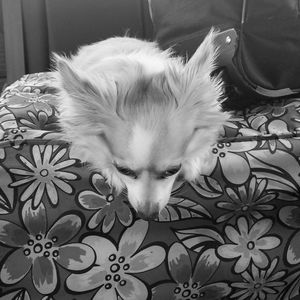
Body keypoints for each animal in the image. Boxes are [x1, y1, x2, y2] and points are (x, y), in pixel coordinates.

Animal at [54, 29, 229, 220]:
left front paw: (191, 162)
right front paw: (111, 172)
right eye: (123, 170)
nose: (147, 215)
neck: (137, 79)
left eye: (172, 170)